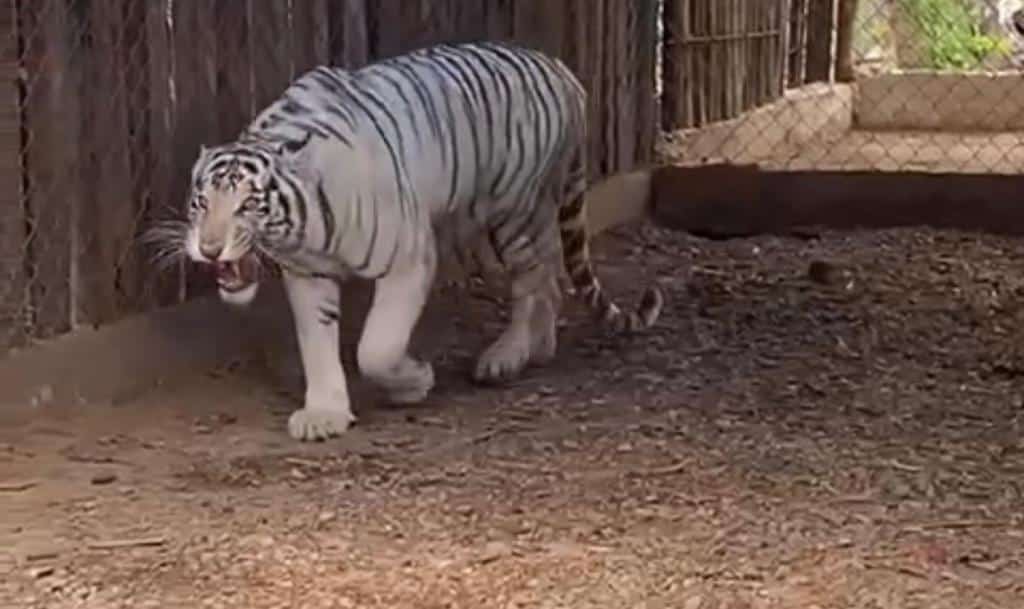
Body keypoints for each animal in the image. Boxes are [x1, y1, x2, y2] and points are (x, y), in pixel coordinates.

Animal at [151, 41, 664, 442]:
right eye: (201, 202)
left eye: (248, 205)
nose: (209, 249)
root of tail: (561, 70)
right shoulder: (308, 274)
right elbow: (317, 343)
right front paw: (325, 413)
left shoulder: (409, 260)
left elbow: (377, 347)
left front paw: (415, 382)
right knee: (551, 271)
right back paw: (540, 347)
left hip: (514, 211)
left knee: (533, 279)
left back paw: (508, 356)